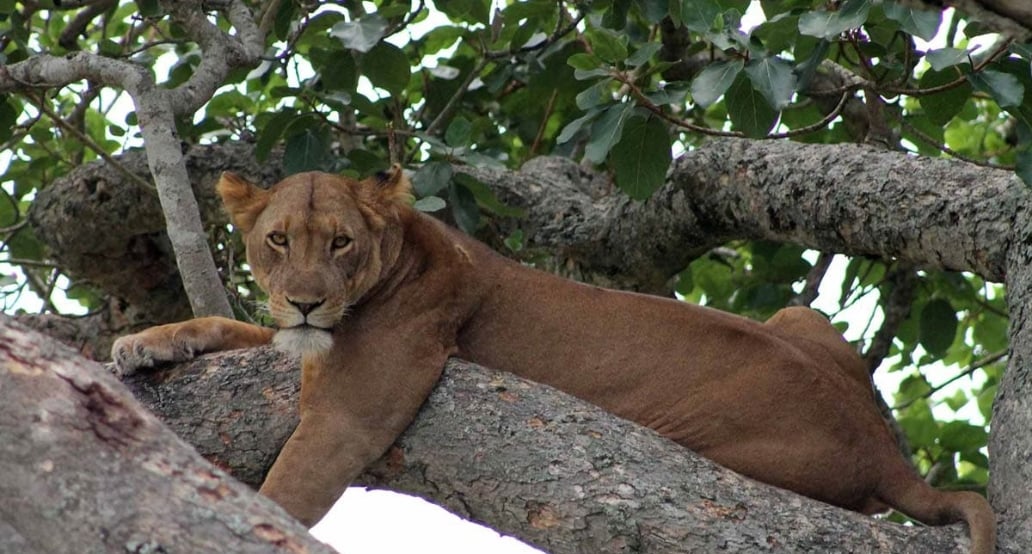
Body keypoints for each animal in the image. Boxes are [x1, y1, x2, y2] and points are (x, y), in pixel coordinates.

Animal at [112, 167, 995, 553]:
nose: (303, 301)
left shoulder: (350, 415)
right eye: (277, 242)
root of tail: (887, 453)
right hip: (802, 317)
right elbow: (231, 326)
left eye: (340, 244)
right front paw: (147, 343)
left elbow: (282, 492)